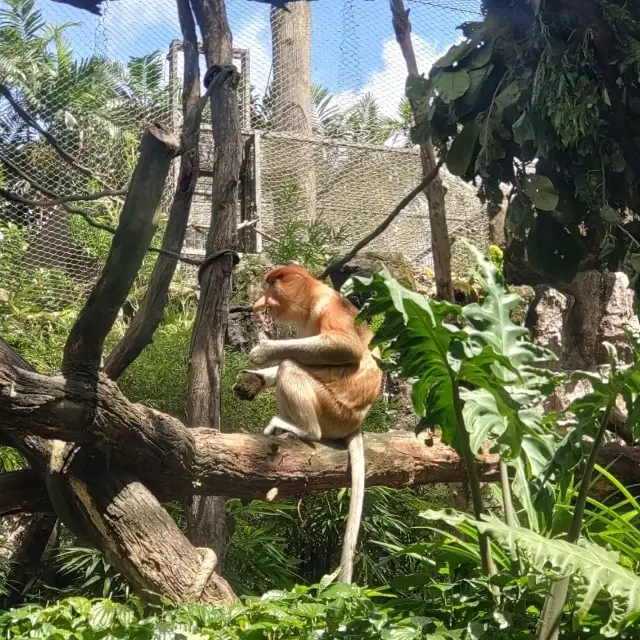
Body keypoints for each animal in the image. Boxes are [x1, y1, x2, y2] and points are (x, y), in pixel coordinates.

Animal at [236, 262, 382, 584]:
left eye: (272, 285)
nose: (259, 303)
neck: (311, 298)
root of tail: (356, 423)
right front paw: (252, 381)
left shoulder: (328, 307)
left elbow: (345, 347)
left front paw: (264, 350)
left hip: (334, 410)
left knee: (292, 366)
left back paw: (298, 429)